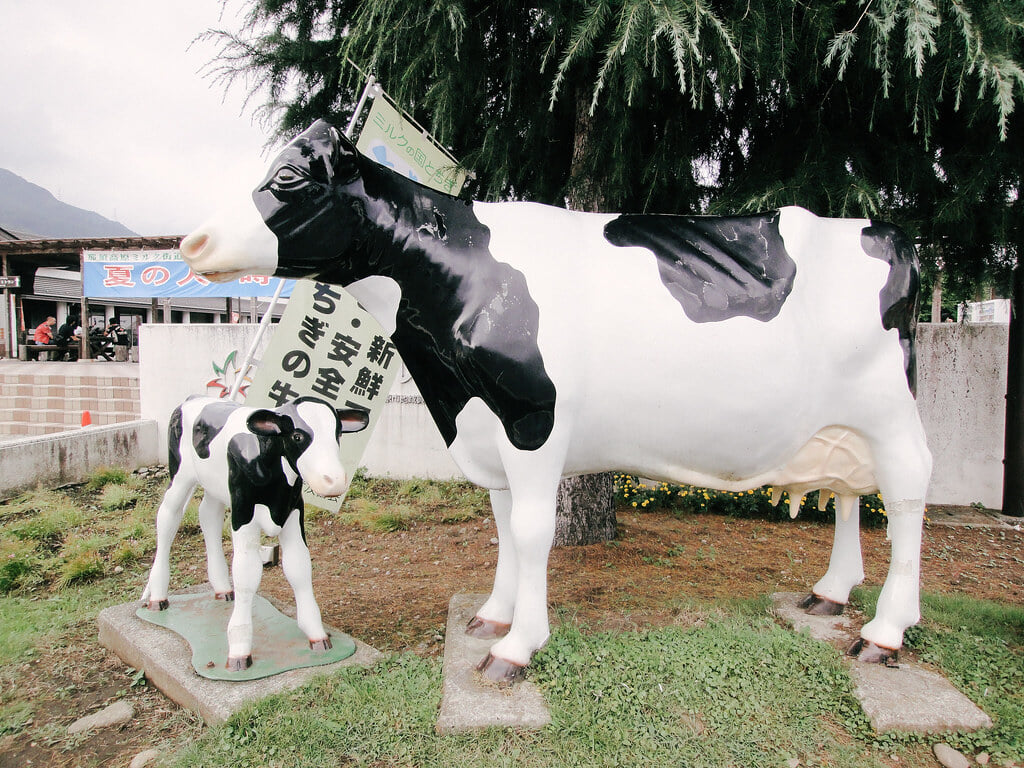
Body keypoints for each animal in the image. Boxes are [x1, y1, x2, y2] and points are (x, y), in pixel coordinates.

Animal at [142, 393, 368, 671]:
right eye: (297, 436)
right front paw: (239, 649)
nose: (334, 480)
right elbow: (246, 576)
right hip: (179, 475)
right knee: (167, 519)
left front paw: (316, 634)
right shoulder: (243, 512)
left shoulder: (293, 510)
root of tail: (194, 398)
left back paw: (222, 589)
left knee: (209, 516)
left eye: (337, 433)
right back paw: (157, 597)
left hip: (215, 486)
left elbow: (299, 569)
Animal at [180, 121, 933, 684]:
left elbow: (532, 531)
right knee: (849, 493)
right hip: (843, 426)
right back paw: (831, 594)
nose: (192, 240)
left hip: (892, 415)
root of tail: (887, 232)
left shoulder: (532, 420)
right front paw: (493, 613)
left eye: (286, 179)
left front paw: (516, 646)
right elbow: (504, 525)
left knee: (906, 498)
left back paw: (886, 631)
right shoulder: (487, 427)